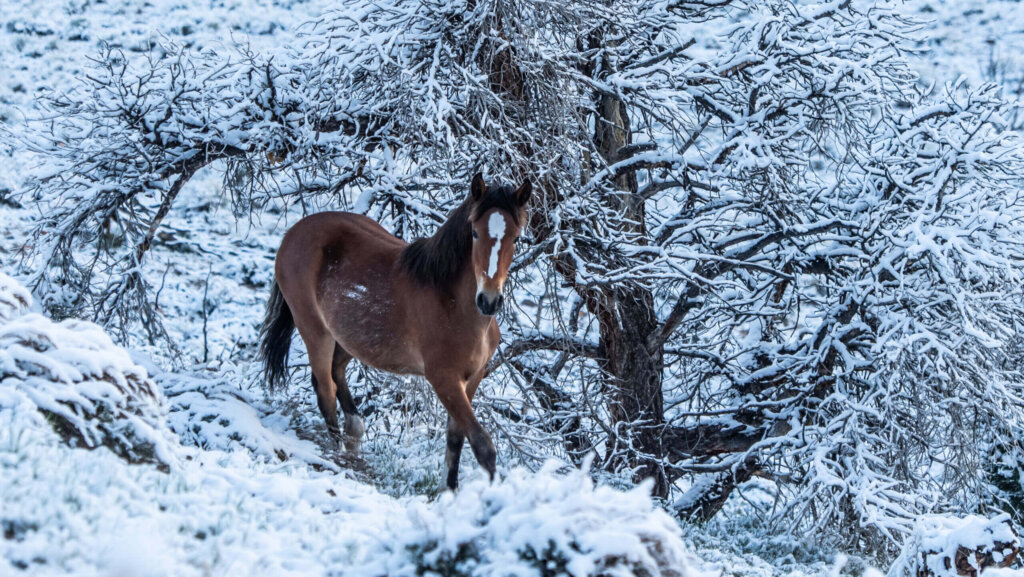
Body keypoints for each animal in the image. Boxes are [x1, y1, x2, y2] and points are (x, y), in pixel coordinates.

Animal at [258, 173, 531, 489]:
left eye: (516, 238)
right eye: (474, 233)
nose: (489, 300)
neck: (452, 302)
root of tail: (293, 233)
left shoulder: (472, 378)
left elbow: (455, 439)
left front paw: (449, 490)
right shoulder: (444, 379)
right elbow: (482, 445)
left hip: (349, 338)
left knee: (336, 376)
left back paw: (353, 438)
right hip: (316, 331)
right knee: (325, 390)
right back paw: (336, 457)